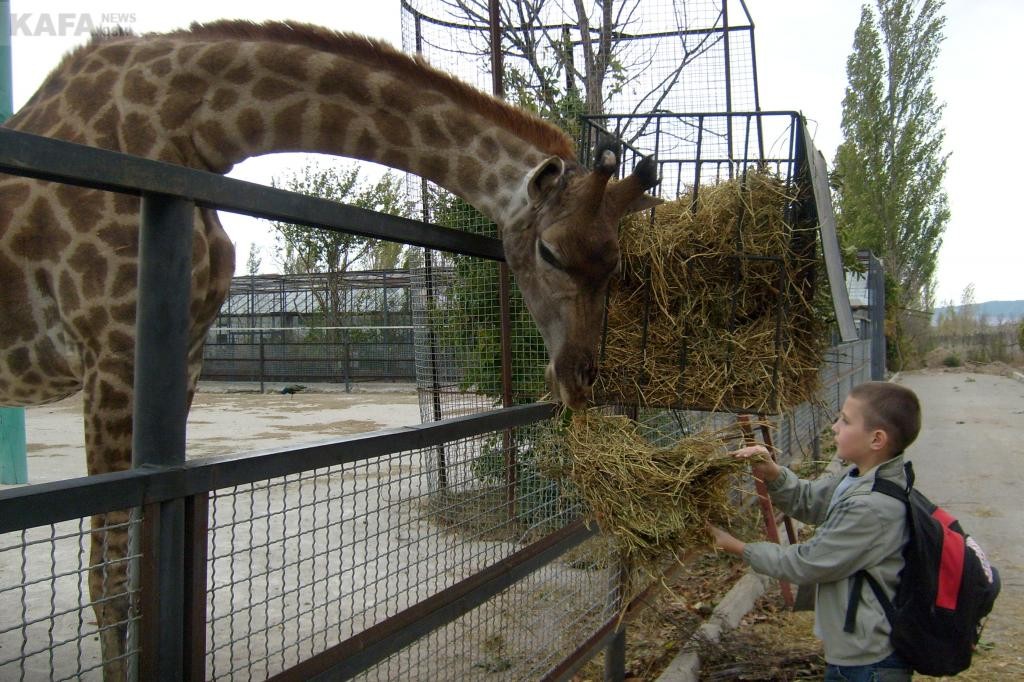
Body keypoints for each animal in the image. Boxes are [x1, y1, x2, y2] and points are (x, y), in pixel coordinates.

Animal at [0, 21, 659, 675]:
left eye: (615, 265)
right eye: (549, 252)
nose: (580, 378)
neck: (190, 129)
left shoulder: (181, 353)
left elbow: (137, 576)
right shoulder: (112, 349)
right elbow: (111, 582)